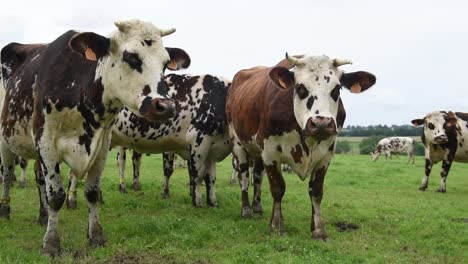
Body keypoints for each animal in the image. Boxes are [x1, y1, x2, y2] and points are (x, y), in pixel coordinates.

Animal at [0, 19, 190, 255]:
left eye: (164, 63)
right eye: (131, 57)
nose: (166, 106)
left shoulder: (101, 144)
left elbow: (92, 193)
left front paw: (96, 235)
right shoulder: (46, 140)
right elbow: (56, 195)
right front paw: (51, 243)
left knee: (39, 179)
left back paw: (43, 217)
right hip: (5, 141)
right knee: (7, 174)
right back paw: (5, 211)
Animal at [226, 53, 376, 239]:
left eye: (337, 89)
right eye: (300, 88)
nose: (321, 123)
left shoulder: (326, 154)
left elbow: (316, 191)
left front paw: (318, 229)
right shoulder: (270, 151)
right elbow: (278, 188)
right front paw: (276, 226)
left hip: (256, 151)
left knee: (258, 177)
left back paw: (257, 207)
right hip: (238, 143)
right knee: (245, 177)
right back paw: (246, 210)